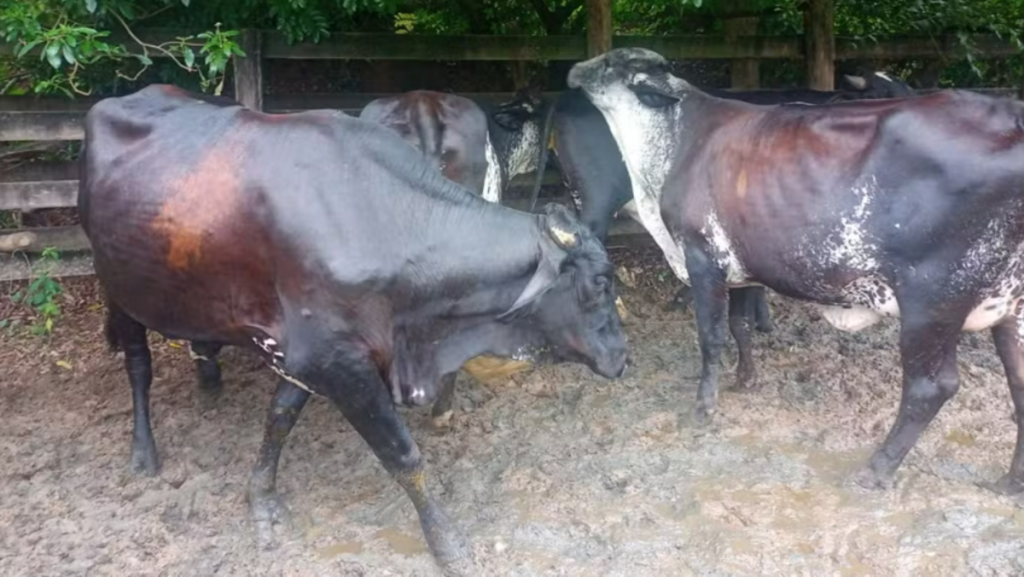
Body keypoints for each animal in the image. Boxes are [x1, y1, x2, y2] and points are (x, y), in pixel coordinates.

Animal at [78, 84, 629, 574]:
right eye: (600, 281)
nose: (623, 356)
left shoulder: (308, 350)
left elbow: (279, 417)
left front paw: (261, 497)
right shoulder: (338, 363)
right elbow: (403, 457)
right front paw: (447, 543)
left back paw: (208, 378)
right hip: (117, 285)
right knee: (138, 366)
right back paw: (143, 451)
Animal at [568, 47, 1024, 494]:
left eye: (610, 62)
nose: (573, 69)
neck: (674, 136)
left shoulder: (702, 258)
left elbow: (711, 338)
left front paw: (703, 408)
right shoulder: (741, 267)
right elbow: (740, 325)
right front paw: (745, 379)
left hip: (931, 300)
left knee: (931, 387)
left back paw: (875, 470)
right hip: (1008, 307)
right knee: (1018, 383)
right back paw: (1010, 484)